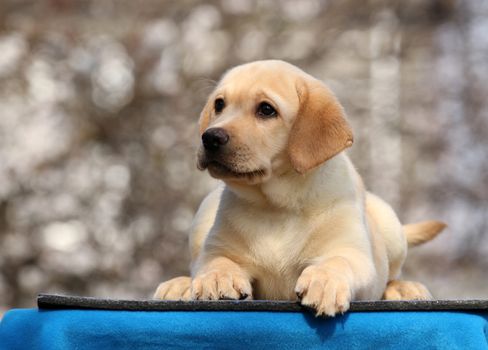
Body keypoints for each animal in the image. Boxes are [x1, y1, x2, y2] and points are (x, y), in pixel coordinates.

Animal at [153, 60, 446, 318]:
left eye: (266, 110)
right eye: (219, 104)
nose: (210, 137)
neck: (275, 204)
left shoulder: (351, 252)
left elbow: (338, 261)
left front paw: (324, 282)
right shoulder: (218, 248)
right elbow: (215, 261)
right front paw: (216, 278)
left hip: (390, 225)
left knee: (392, 276)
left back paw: (406, 288)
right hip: (202, 216)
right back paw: (178, 285)